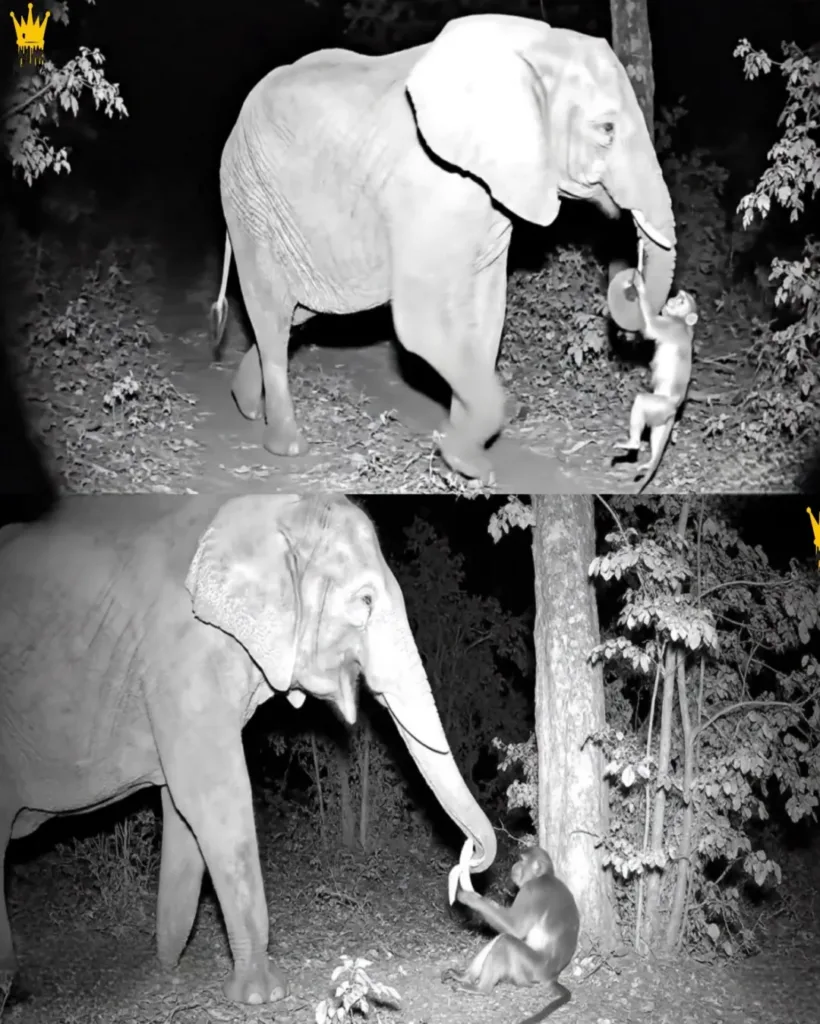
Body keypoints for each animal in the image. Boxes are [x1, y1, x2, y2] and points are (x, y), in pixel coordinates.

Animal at [0, 494, 497, 1005]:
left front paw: (168, 969)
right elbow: (214, 798)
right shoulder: (182, 654)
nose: (469, 860)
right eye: (365, 600)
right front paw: (261, 995)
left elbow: (181, 809)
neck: (271, 507)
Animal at [210, 13, 677, 483]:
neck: (533, 47)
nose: (627, 279)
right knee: (271, 310)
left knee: (302, 311)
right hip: (249, 198)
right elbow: (421, 325)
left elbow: (487, 317)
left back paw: (245, 402)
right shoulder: (433, 187)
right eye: (607, 130)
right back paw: (285, 444)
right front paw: (461, 455)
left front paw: (460, 452)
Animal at [442, 846, 580, 1023]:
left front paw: (470, 898)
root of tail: (552, 976)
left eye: (521, 860)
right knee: (501, 939)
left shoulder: (532, 891)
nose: (514, 865)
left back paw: (481, 989)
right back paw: (465, 977)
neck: (544, 877)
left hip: (533, 968)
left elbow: (514, 929)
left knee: (506, 941)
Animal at [613, 271, 698, 493]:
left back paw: (633, 443)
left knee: (642, 400)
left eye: (682, 301)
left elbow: (650, 324)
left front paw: (639, 283)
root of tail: (675, 408)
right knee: (657, 435)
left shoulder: (670, 325)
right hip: (662, 416)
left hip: (659, 405)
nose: (672, 300)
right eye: (678, 296)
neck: (683, 323)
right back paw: (651, 462)